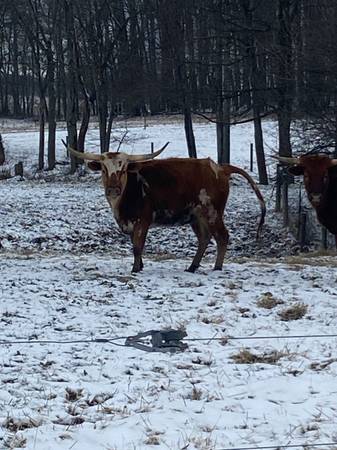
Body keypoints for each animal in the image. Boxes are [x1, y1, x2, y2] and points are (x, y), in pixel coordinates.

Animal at [65, 142, 266, 272]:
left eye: (123, 170)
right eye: (104, 169)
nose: (113, 190)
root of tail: (220, 168)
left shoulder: (143, 221)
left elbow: (137, 246)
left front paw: (135, 269)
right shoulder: (130, 224)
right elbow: (134, 244)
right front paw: (140, 265)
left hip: (213, 212)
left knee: (222, 237)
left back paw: (216, 268)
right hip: (196, 216)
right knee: (204, 238)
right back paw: (192, 267)